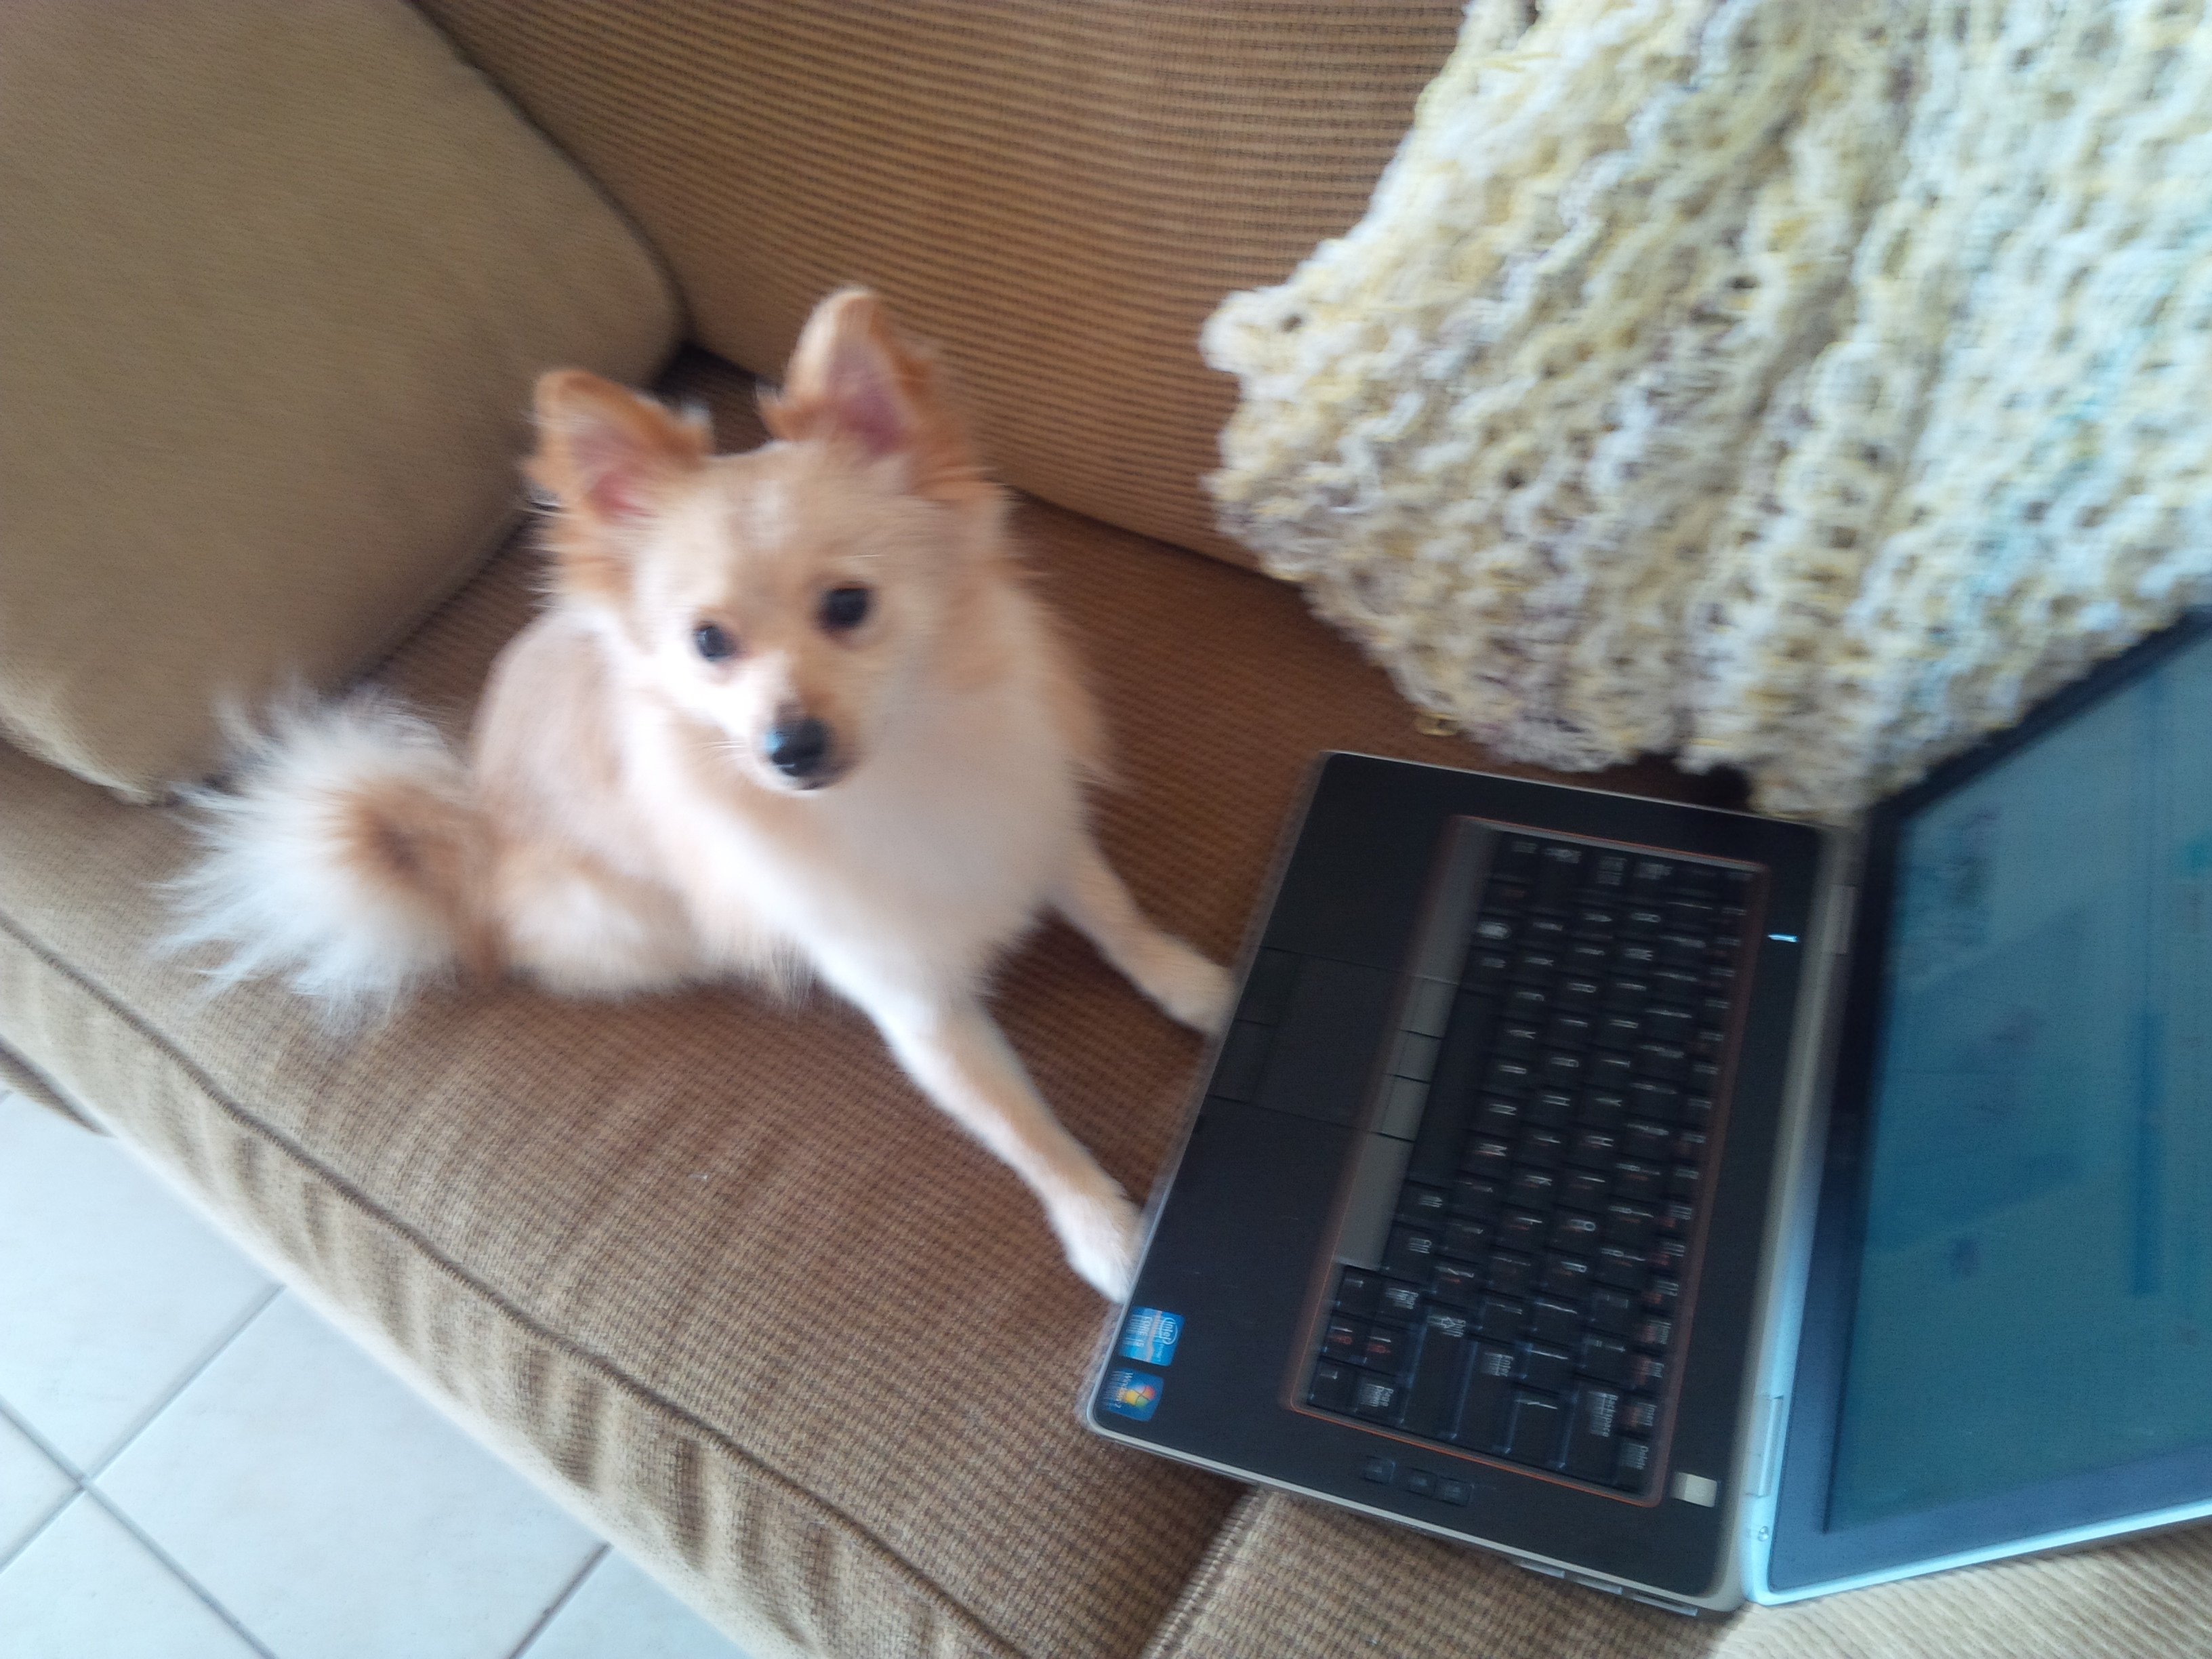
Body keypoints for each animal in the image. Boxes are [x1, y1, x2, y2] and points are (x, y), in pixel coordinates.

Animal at [169, 288, 1231, 1298]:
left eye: (849, 606)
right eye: (709, 643)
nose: (789, 746)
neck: (903, 764)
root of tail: (470, 836)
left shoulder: (1029, 821)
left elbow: (1115, 915)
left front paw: (1200, 988)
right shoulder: (917, 1006)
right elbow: (1024, 1129)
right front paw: (1104, 1231)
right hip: (634, 920)